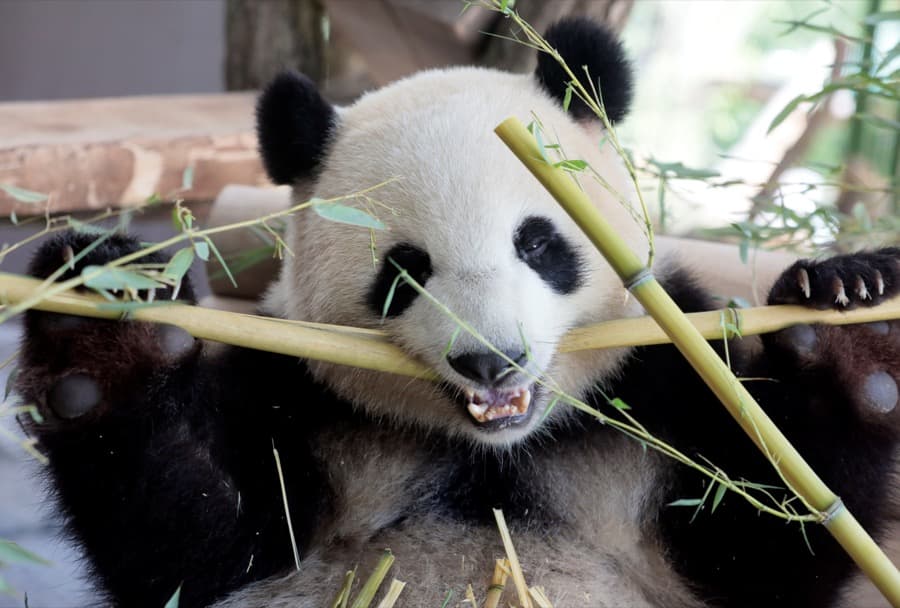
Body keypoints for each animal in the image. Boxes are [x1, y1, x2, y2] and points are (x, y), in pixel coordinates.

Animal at [15, 16, 900, 608]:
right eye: (405, 270)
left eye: (539, 242)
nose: (491, 361)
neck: (495, 455)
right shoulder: (297, 394)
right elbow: (194, 540)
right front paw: (102, 324)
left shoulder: (661, 387)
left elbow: (766, 542)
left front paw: (851, 322)